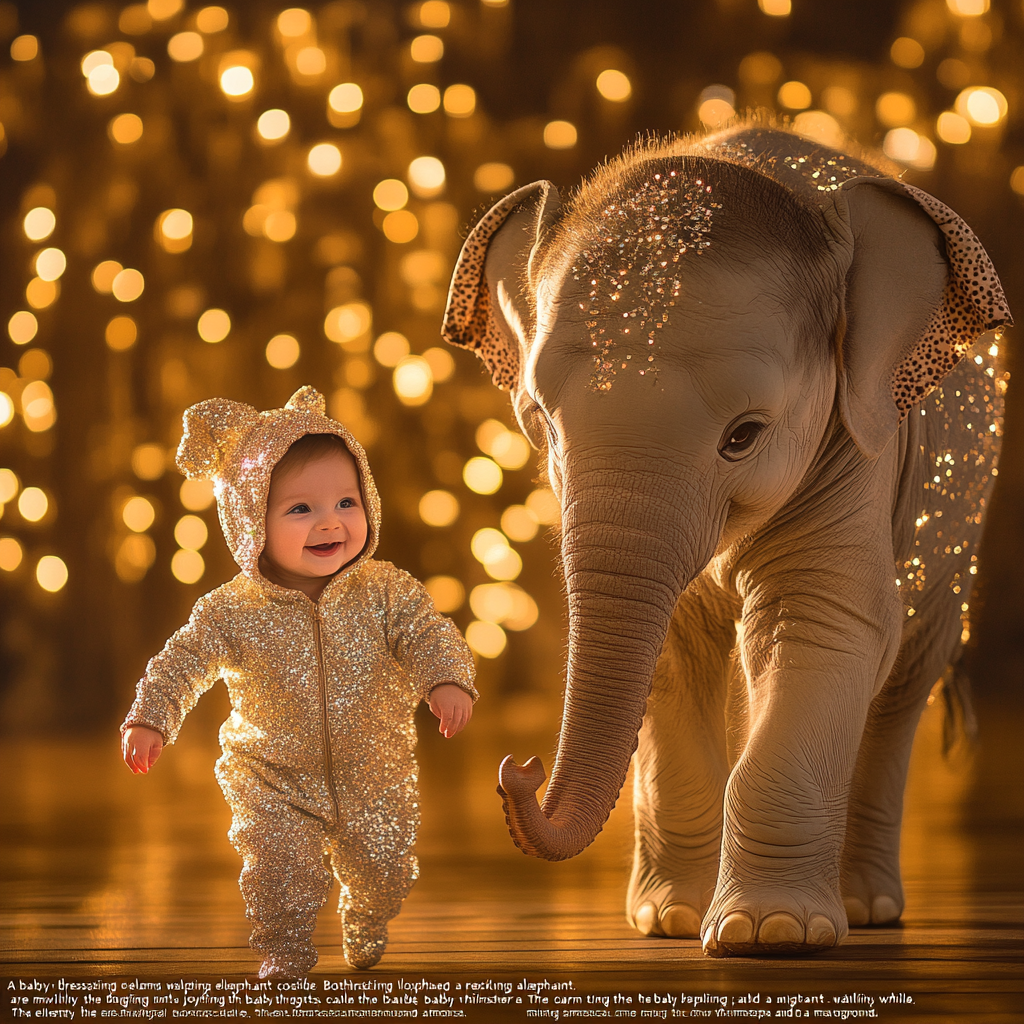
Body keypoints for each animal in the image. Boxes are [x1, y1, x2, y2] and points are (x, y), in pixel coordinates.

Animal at [440, 123, 1007, 954]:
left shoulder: (860, 449)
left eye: (744, 436)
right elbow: (672, 653)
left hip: (956, 525)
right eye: (541, 423)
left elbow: (821, 623)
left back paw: (868, 908)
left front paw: (769, 934)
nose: (519, 766)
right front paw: (670, 920)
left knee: (903, 683)